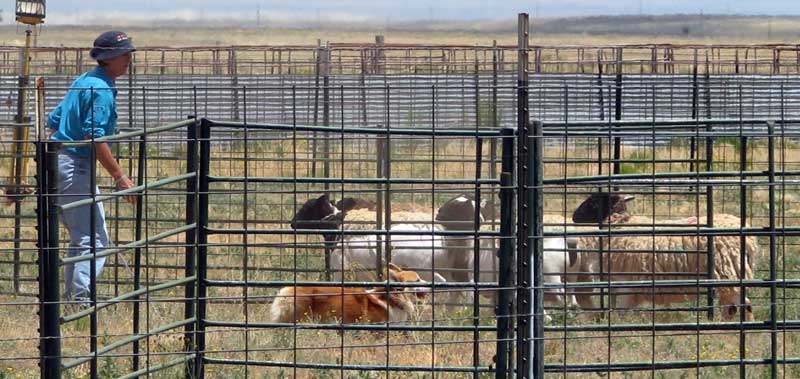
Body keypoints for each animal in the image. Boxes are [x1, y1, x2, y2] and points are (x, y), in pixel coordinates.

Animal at [568, 193, 764, 320]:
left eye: (594, 203)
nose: (574, 217)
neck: (620, 225)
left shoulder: (627, 284)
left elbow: (621, 312)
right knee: (732, 305)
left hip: (727, 271)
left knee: (741, 304)